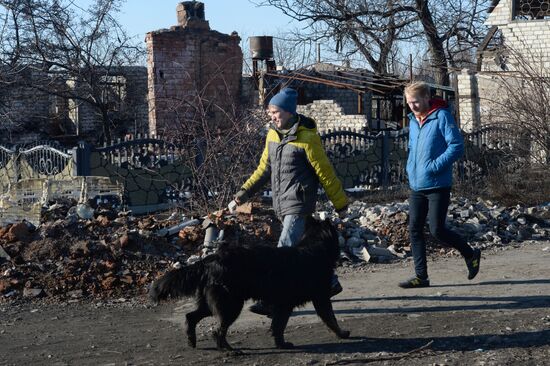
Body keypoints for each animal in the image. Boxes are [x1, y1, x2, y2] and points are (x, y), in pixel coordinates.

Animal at [149, 219, 352, 350]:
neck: (315, 248)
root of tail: (209, 260)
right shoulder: (319, 299)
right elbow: (331, 318)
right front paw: (342, 334)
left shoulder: (283, 305)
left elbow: (278, 326)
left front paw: (281, 344)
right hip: (231, 305)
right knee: (218, 331)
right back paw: (229, 350)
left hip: (212, 302)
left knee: (191, 317)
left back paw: (192, 341)